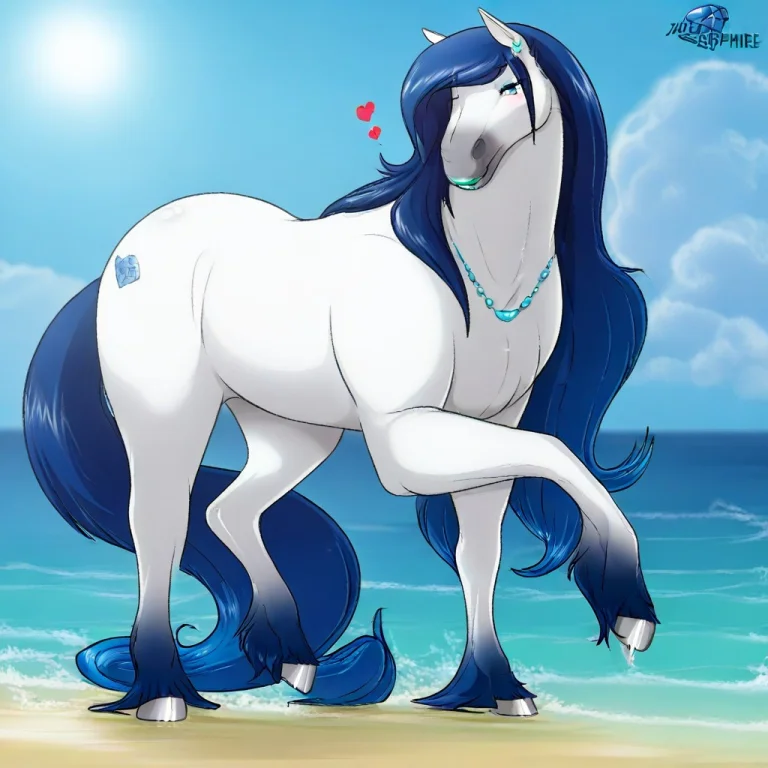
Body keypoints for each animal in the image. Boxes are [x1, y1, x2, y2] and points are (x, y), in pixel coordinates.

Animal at [22, 9, 659, 723]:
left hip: (293, 428)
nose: (456, 161)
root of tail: (123, 254)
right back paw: (164, 692)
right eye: (446, 101)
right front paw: (628, 605)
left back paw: (294, 656)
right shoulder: (406, 437)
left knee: (229, 512)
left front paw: (501, 687)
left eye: (506, 86)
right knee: (159, 524)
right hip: (167, 415)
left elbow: (481, 555)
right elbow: (557, 453)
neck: (479, 268)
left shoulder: (498, 421)